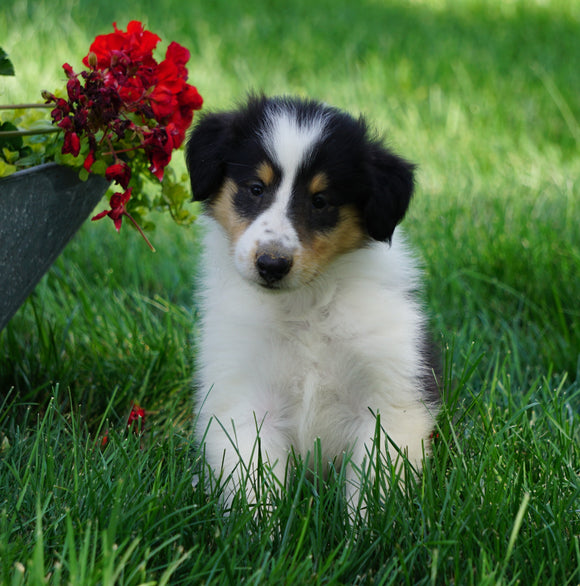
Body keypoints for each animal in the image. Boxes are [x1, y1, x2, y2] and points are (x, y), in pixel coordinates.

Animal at [186, 94, 440, 506]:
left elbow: (374, 487)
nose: (271, 265)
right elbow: (253, 484)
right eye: (255, 188)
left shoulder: (390, 399)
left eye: (321, 201)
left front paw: (369, 525)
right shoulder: (245, 399)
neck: (306, 305)